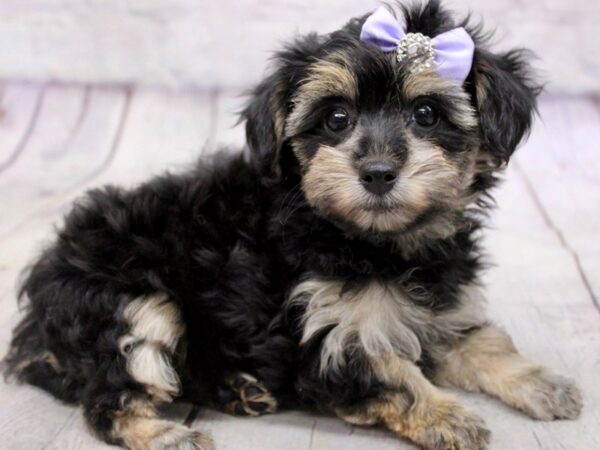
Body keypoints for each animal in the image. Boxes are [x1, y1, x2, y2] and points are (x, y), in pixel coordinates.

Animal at [1, 0, 580, 450]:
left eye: (426, 114)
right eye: (337, 119)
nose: (377, 172)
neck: (377, 244)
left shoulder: (443, 307)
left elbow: (483, 342)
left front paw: (543, 382)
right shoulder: (326, 336)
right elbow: (392, 374)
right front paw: (447, 414)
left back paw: (239, 388)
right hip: (132, 302)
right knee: (107, 395)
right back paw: (166, 434)